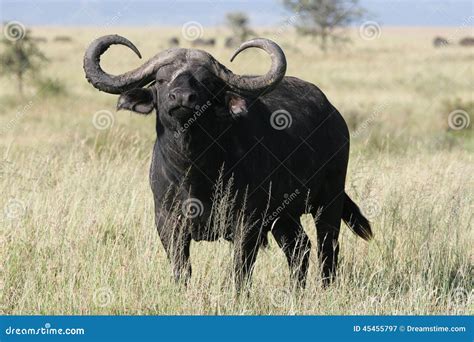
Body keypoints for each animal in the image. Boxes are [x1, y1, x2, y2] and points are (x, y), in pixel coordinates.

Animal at [84, 34, 374, 292]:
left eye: (205, 81)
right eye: (162, 80)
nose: (182, 98)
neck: (194, 171)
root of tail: (334, 116)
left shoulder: (248, 221)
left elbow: (240, 267)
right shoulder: (167, 222)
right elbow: (181, 268)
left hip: (329, 199)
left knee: (328, 247)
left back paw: (325, 288)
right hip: (285, 215)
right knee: (299, 248)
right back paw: (296, 292)